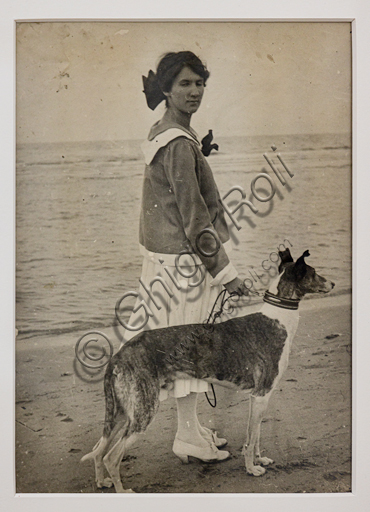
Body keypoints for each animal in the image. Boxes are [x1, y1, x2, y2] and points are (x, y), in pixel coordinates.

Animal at [81, 248, 336, 492]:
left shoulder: (259, 398)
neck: (277, 319)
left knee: (99, 449)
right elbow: (252, 437)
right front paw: (252, 468)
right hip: (143, 411)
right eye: (314, 273)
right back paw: (123, 491)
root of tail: (119, 355)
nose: (333, 284)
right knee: (111, 456)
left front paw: (259, 460)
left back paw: (102, 482)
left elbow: (256, 436)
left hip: (122, 412)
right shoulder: (261, 395)